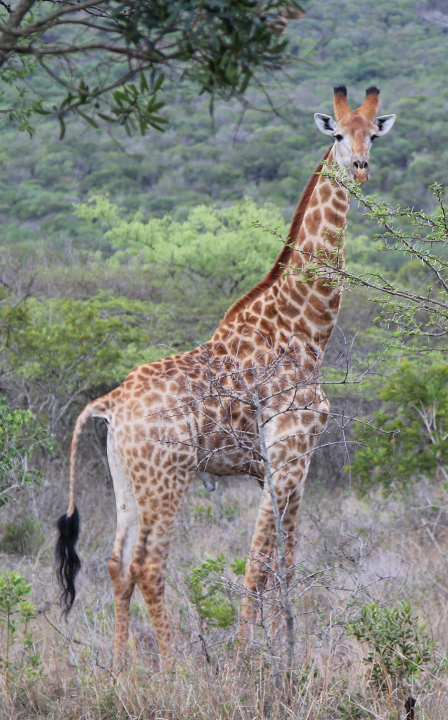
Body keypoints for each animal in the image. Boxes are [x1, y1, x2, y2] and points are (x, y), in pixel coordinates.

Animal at [57, 86, 396, 668]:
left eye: (373, 133)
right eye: (335, 134)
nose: (360, 167)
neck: (305, 329)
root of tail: (111, 403)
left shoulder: (284, 463)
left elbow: (285, 561)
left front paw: (286, 652)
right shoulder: (288, 450)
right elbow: (258, 564)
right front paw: (247, 663)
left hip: (127, 477)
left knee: (116, 563)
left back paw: (122, 671)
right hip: (168, 476)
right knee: (148, 565)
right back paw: (173, 670)